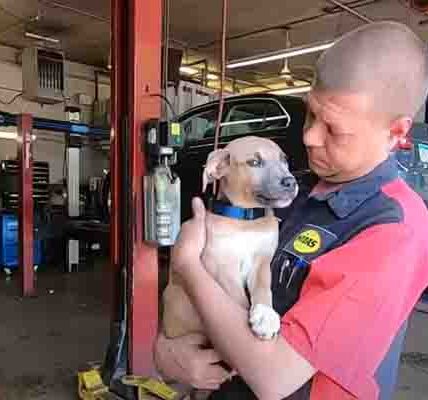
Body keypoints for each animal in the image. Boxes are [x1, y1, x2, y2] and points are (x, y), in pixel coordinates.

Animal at [162, 137, 300, 340]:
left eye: (284, 160)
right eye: (254, 162)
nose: (291, 182)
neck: (246, 220)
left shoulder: (262, 262)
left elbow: (263, 288)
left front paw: (265, 315)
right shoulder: (222, 267)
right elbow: (239, 300)